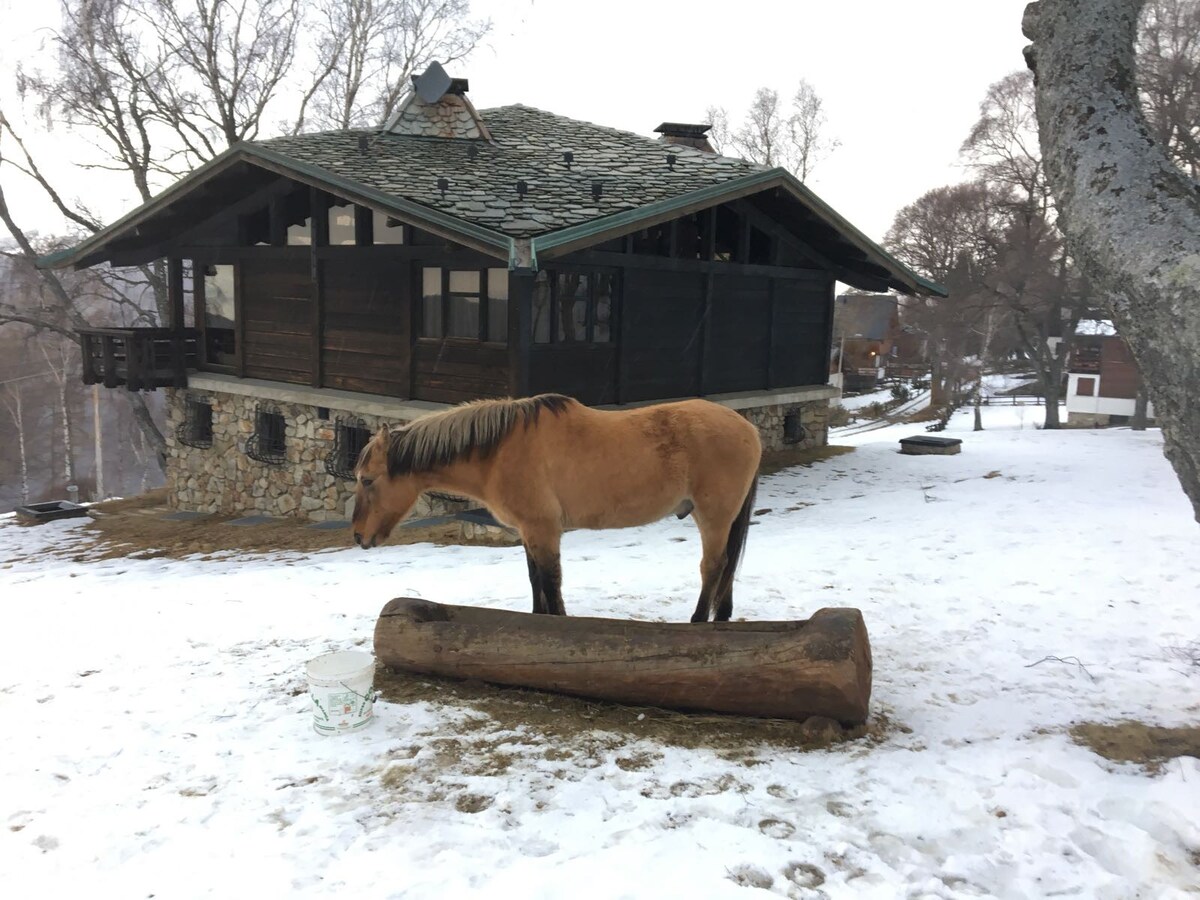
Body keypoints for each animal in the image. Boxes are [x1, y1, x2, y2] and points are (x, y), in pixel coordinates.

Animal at [350, 393, 758, 628]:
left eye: (367, 480)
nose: (358, 536)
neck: (500, 451)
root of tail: (748, 429)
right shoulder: (530, 532)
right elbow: (535, 581)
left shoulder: (543, 529)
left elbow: (550, 581)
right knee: (726, 568)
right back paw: (722, 617)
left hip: (713, 517)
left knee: (713, 566)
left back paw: (698, 621)